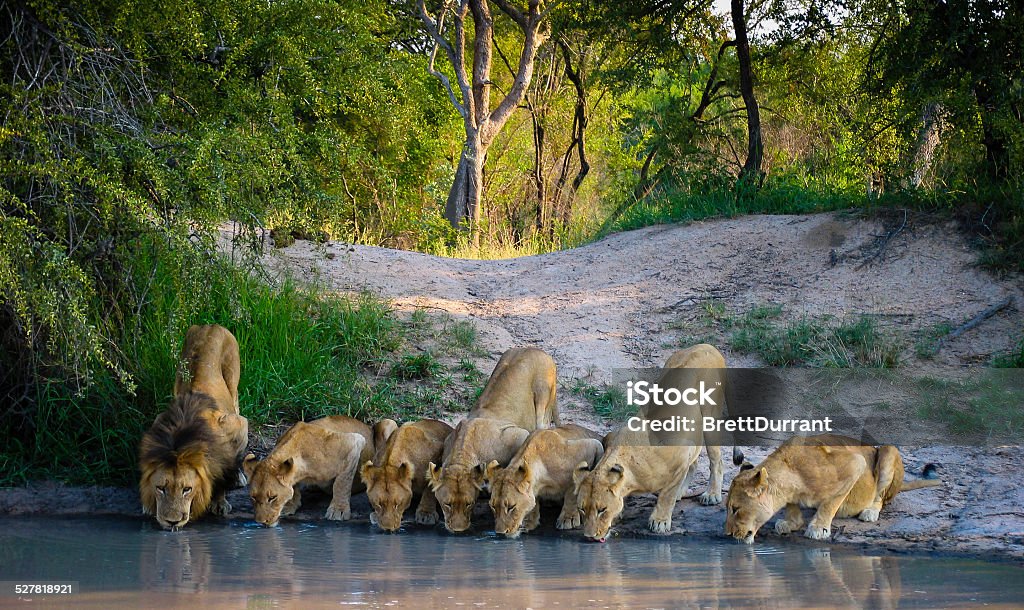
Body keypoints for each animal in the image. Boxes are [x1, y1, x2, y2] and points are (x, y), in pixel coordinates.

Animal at [138, 323, 249, 528]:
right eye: (161, 488)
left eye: (187, 489)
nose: (172, 522)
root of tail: (210, 324)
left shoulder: (237, 426)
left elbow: (225, 467)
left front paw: (220, 502)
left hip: (233, 382)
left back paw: (238, 478)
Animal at [242, 417, 380, 528]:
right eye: (253, 497)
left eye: (272, 498)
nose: (261, 522)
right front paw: (290, 505)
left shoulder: (354, 443)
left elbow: (342, 483)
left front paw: (338, 510)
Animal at [428, 347, 565, 532]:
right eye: (446, 504)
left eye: (469, 504)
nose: (458, 530)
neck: (463, 452)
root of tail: (537, 349)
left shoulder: (518, 435)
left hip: (542, 400)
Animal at [573, 345, 733, 540]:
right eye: (582, 509)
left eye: (602, 510)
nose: (589, 536)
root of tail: (706, 346)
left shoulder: (679, 455)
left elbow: (667, 495)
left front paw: (660, 521)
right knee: (695, 461)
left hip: (711, 416)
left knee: (716, 460)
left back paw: (711, 495)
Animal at [724, 433, 937, 544]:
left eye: (735, 509)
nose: (727, 534)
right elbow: (793, 506)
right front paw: (792, 523)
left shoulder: (855, 463)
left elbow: (830, 503)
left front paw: (819, 528)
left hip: (888, 450)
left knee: (880, 497)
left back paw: (870, 511)